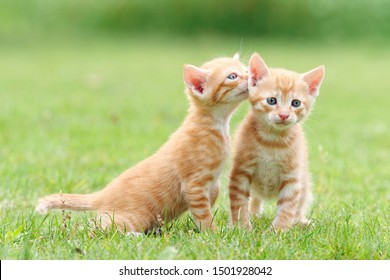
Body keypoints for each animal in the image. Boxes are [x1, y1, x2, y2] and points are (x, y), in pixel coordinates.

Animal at [37, 53, 250, 233]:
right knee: (95, 228)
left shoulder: (210, 184)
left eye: (245, 69)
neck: (217, 124)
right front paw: (213, 232)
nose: (250, 76)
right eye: (232, 76)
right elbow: (203, 213)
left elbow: (213, 195)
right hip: (131, 218)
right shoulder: (194, 185)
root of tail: (102, 195)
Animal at [230, 53, 324, 232]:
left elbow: (288, 207)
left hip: (304, 181)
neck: (272, 142)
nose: (284, 115)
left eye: (296, 103)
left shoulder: (293, 178)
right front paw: (243, 227)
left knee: (301, 203)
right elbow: (238, 202)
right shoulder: (241, 172)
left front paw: (278, 231)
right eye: (272, 101)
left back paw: (301, 221)